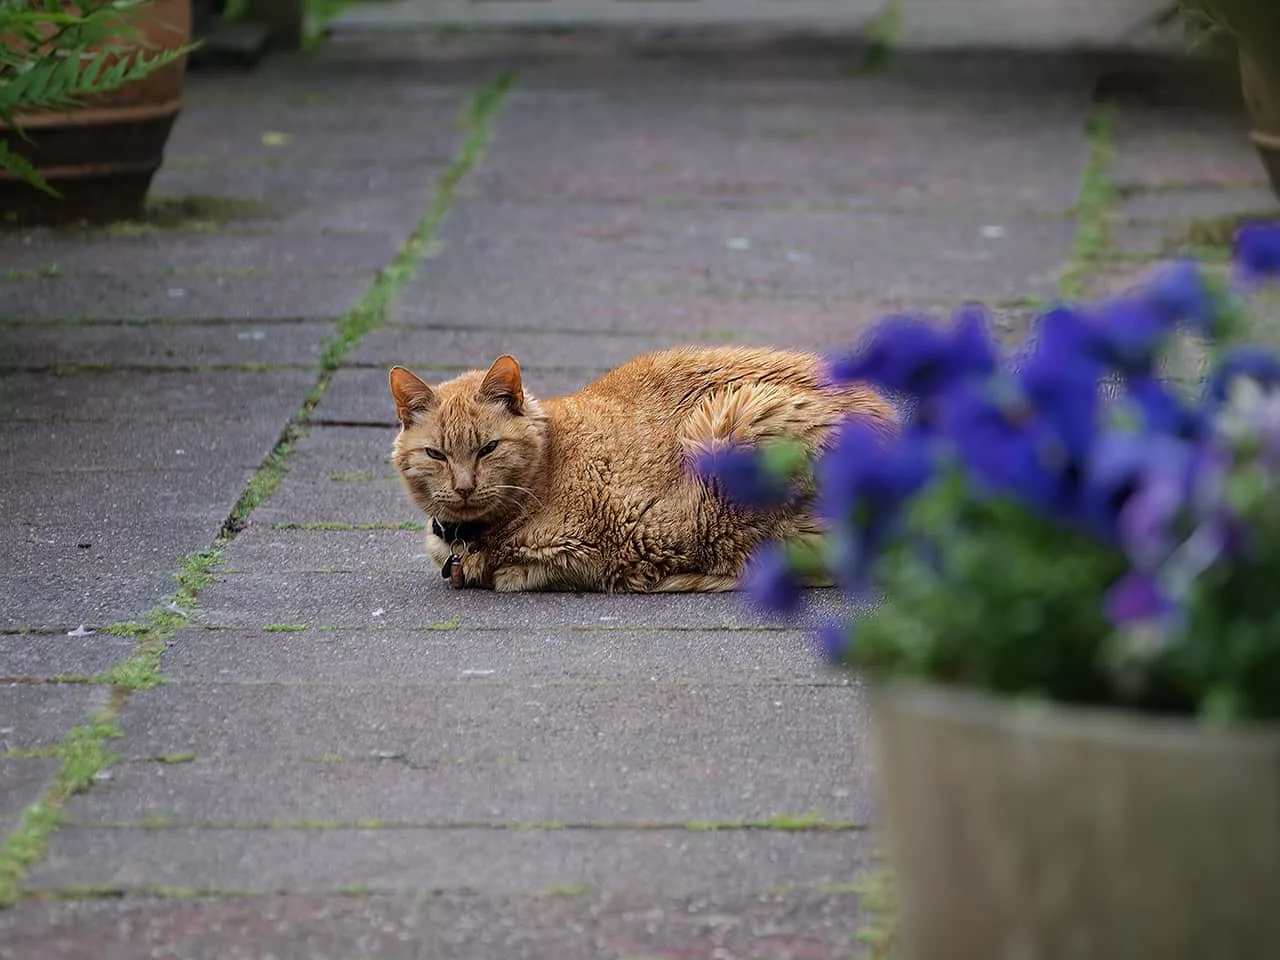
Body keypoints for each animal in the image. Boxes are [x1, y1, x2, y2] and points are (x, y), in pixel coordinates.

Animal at [389, 350, 901, 591]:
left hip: (736, 428)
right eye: (436, 455)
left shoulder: (597, 542)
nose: (463, 487)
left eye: (488, 449)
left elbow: (517, 573)